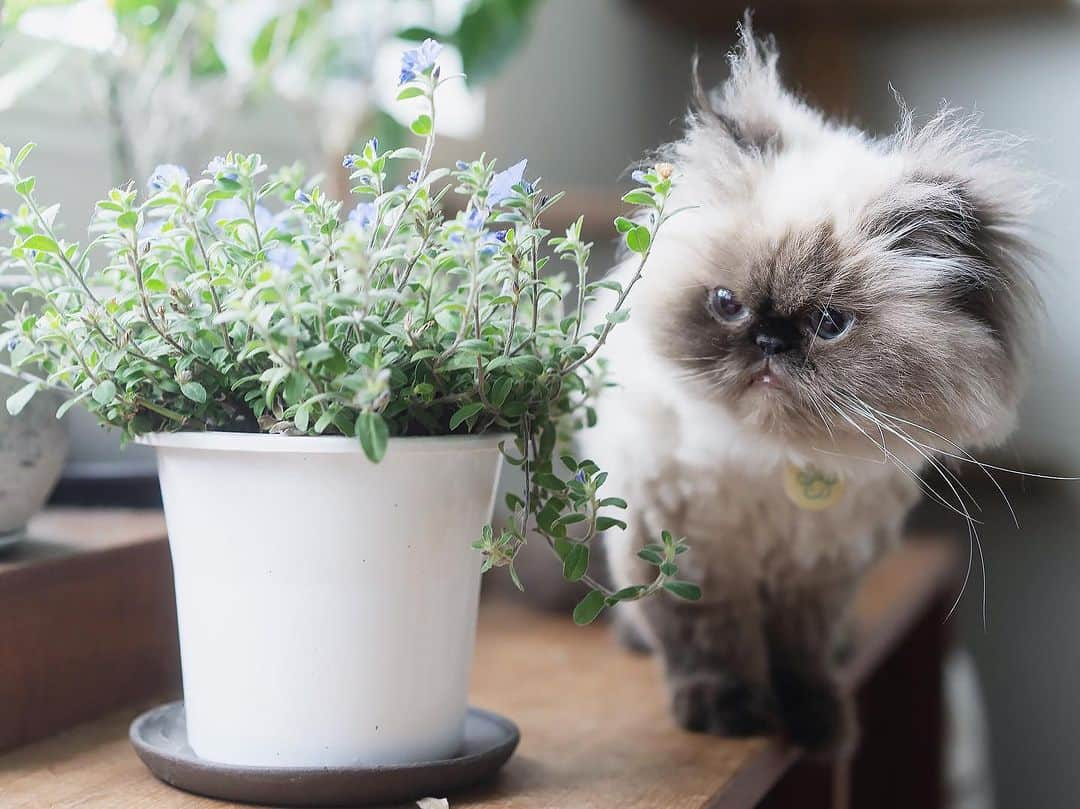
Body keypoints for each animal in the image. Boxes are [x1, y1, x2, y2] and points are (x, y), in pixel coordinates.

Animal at [583, 25, 1036, 756]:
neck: (780, 464)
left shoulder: (818, 573)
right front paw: (731, 717)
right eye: (727, 305)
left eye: (829, 324)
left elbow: (800, 659)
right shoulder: (689, 549)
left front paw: (815, 724)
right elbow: (709, 642)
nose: (770, 342)